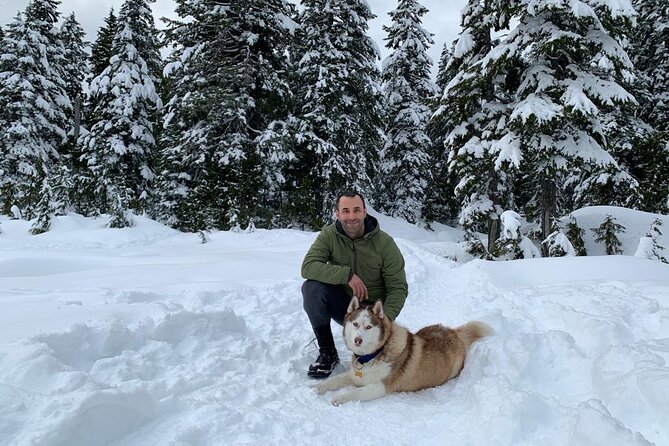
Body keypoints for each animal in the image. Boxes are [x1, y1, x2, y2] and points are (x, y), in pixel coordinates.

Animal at [314, 298, 490, 406]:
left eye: (369, 327)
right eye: (355, 324)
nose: (358, 340)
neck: (374, 355)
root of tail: (453, 332)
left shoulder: (379, 387)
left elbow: (355, 392)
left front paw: (339, 397)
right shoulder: (354, 375)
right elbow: (335, 379)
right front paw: (316, 387)